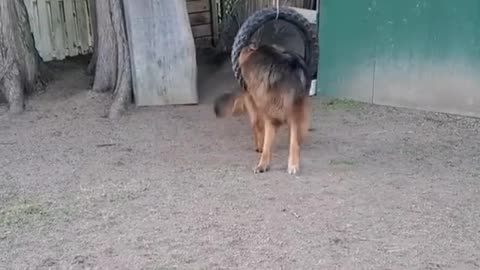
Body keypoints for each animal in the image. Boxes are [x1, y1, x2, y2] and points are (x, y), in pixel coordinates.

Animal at [214, 43, 312, 175]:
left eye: (246, 50)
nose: (243, 48)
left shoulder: (295, 116)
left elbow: (293, 142)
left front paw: (293, 165)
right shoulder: (270, 118)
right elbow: (267, 145)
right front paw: (262, 165)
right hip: (257, 109)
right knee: (257, 127)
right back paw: (258, 146)